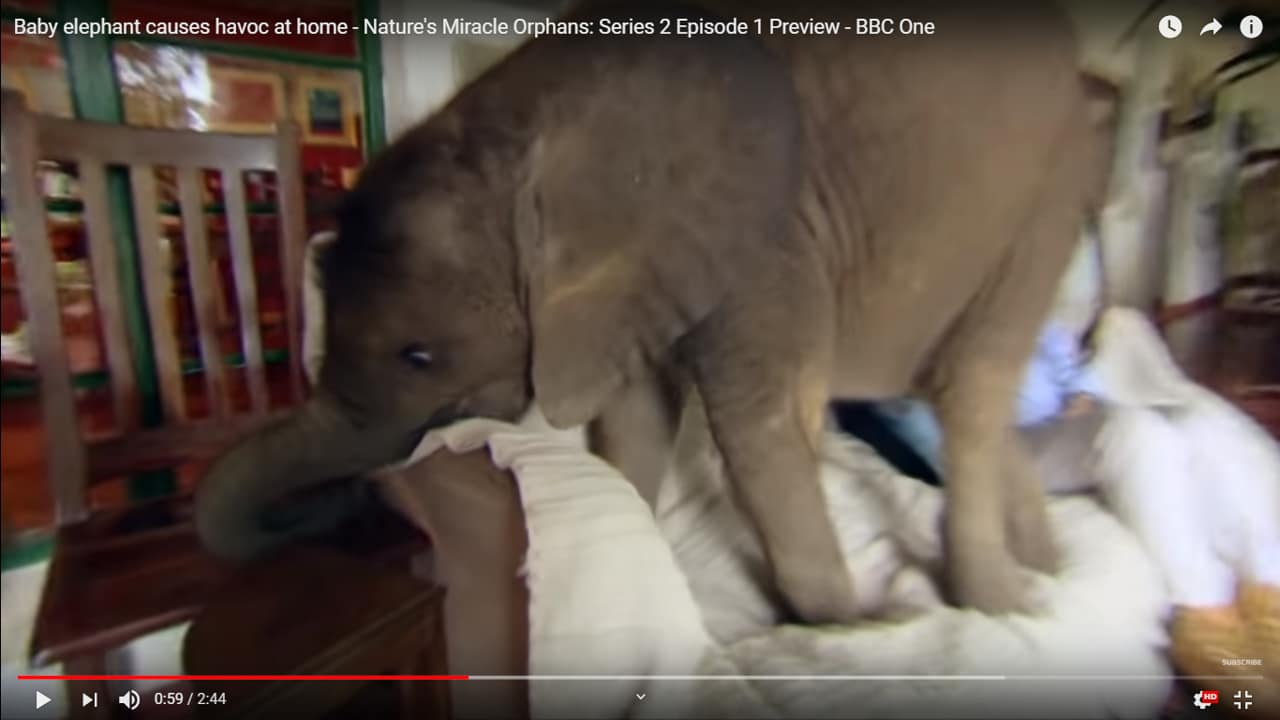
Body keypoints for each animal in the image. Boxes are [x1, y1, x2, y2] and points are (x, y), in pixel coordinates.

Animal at [196, 0, 1114, 622]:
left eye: (417, 357)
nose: (345, 512)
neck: (519, 117)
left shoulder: (766, 238)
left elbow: (759, 428)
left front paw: (855, 627)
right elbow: (634, 418)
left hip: (1051, 188)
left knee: (973, 386)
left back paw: (1000, 603)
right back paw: (1049, 571)